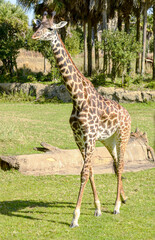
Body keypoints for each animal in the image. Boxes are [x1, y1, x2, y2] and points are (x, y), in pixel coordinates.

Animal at [32, 11, 131, 229]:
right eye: (38, 25)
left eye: (50, 28)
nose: (34, 36)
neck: (77, 97)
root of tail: (127, 113)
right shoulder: (78, 136)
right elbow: (91, 170)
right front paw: (97, 208)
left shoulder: (90, 136)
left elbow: (84, 173)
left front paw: (75, 217)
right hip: (109, 140)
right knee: (115, 164)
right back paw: (123, 198)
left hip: (123, 135)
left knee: (121, 165)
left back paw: (117, 206)